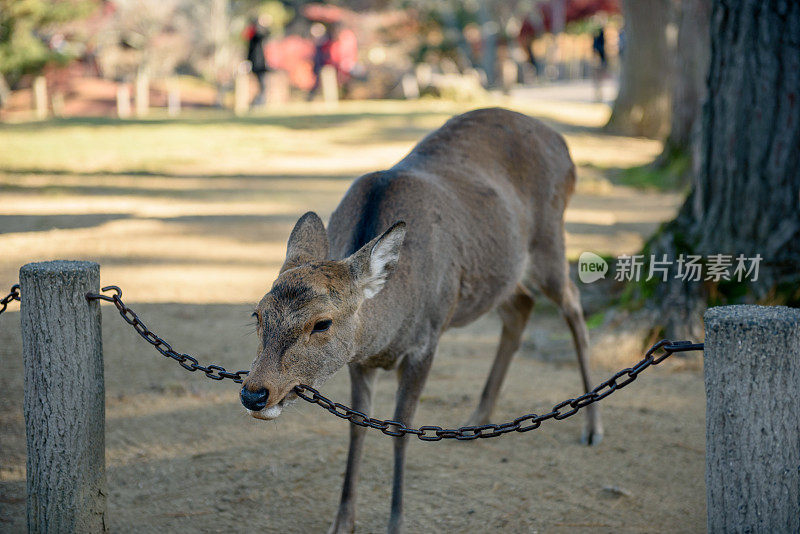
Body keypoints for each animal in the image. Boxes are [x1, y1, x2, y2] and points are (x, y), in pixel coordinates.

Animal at [241, 107, 604, 532]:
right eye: (258, 314)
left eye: (322, 323)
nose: (254, 393)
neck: (390, 331)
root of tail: (563, 144)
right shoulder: (359, 358)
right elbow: (356, 425)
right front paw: (342, 522)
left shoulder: (426, 341)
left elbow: (401, 429)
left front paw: (396, 522)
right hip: (503, 273)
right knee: (520, 307)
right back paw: (477, 420)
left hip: (549, 241)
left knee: (574, 304)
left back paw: (593, 426)